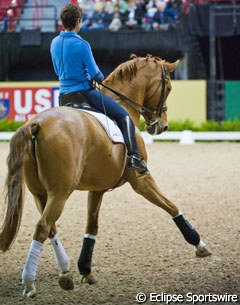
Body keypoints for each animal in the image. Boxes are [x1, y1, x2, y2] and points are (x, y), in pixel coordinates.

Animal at [0, 54, 211, 296]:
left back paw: (66, 273)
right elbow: (171, 206)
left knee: (50, 228)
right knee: (43, 227)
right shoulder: (141, 180)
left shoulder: (97, 189)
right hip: (60, 193)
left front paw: (86, 271)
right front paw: (199, 244)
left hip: (40, 193)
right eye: (168, 87)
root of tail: (37, 124)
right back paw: (30, 284)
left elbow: (91, 227)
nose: (162, 126)